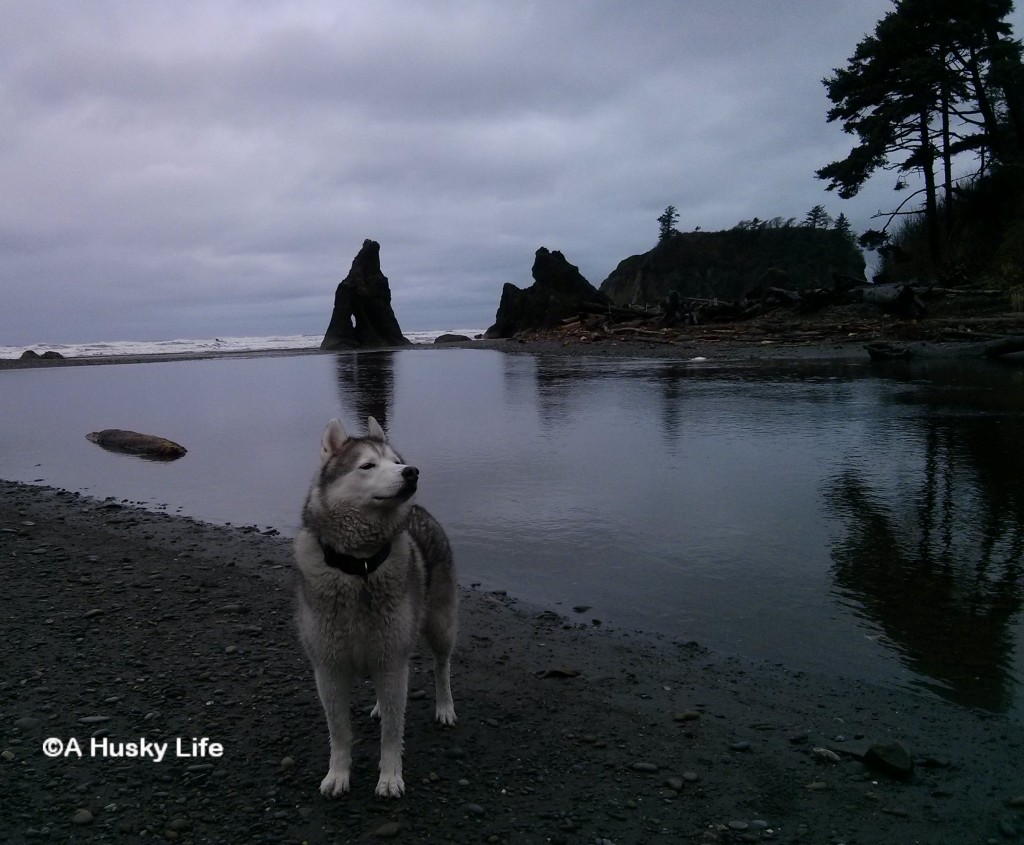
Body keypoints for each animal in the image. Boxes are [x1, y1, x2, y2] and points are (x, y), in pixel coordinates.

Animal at [294, 417, 458, 798]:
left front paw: (390, 776)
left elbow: (393, 733)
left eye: (396, 461)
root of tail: (420, 510)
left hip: (439, 624)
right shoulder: (329, 669)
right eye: (367, 466)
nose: (411, 472)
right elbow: (339, 732)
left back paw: (445, 706)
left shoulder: (393, 660)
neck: (361, 569)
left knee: (442, 666)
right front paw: (338, 774)